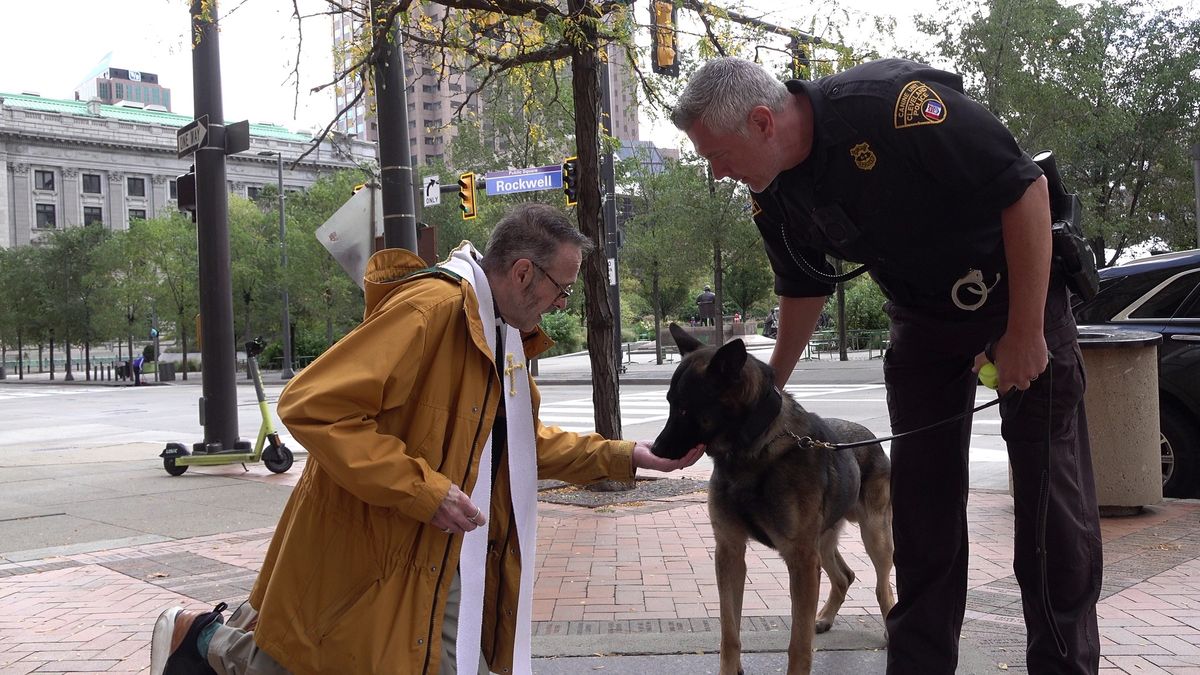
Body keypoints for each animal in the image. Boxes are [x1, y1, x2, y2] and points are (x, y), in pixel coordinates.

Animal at [652, 324, 897, 667]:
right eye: (669, 403)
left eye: (685, 408)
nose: (654, 450)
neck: (752, 449)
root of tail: (870, 436)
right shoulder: (730, 551)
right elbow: (729, 633)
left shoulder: (801, 561)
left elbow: (799, 643)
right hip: (822, 542)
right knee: (845, 576)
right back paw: (825, 617)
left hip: (874, 536)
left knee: (882, 585)